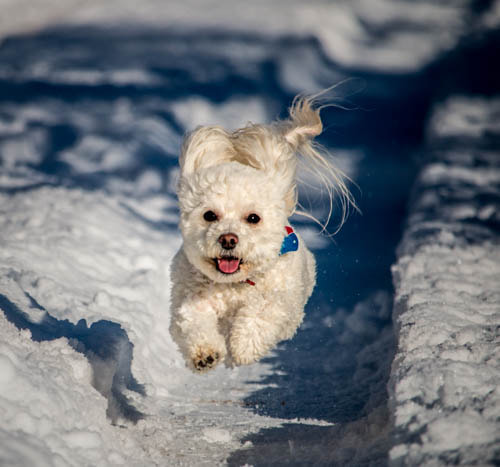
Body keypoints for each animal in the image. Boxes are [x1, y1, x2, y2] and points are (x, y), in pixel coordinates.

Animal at [170, 94, 350, 372]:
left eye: (253, 218)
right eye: (209, 215)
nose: (228, 239)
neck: (234, 285)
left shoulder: (277, 298)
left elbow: (261, 313)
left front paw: (243, 347)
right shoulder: (190, 299)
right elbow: (193, 321)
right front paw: (205, 353)